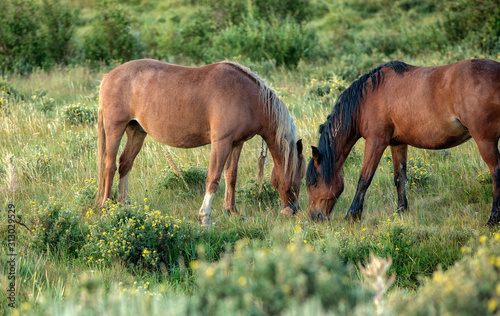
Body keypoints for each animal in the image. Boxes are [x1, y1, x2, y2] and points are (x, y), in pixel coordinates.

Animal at [94, 58, 304, 225]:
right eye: (299, 177)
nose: (294, 210)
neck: (246, 96)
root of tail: (107, 76)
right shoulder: (221, 142)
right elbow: (213, 178)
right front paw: (205, 217)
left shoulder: (236, 143)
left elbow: (231, 176)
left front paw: (232, 212)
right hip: (115, 128)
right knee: (109, 166)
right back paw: (106, 210)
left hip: (136, 131)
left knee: (125, 164)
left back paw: (124, 207)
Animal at [304, 59, 500, 226]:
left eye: (313, 183)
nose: (315, 217)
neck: (365, 99)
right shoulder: (397, 144)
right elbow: (400, 178)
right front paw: (401, 211)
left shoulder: (376, 142)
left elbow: (364, 179)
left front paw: (352, 215)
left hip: (485, 141)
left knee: (496, 172)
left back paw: (493, 219)